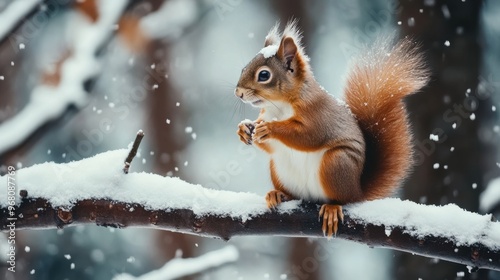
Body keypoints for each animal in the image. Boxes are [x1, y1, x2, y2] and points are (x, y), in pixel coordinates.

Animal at [234, 21, 426, 236]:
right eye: (244, 68)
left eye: (264, 75)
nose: (238, 92)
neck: (280, 105)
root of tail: (358, 189)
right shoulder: (267, 115)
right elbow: (270, 145)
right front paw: (244, 129)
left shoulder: (319, 116)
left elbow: (308, 137)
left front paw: (271, 128)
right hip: (279, 168)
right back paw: (279, 194)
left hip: (337, 163)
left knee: (345, 199)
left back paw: (333, 208)